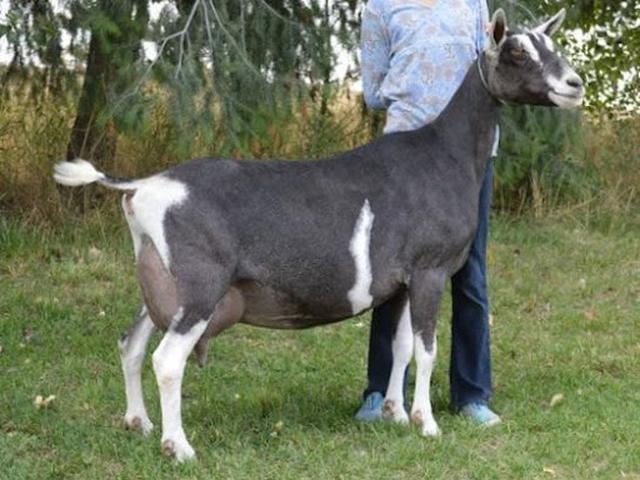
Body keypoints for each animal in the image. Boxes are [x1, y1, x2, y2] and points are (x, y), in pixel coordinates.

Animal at [54, 9, 583, 461]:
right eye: (517, 51)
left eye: (550, 44)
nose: (574, 84)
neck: (444, 154)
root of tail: (142, 186)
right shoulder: (430, 269)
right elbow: (427, 348)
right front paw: (427, 423)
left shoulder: (402, 280)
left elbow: (401, 347)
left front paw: (394, 415)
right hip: (202, 283)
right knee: (166, 359)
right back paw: (178, 447)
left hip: (161, 279)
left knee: (131, 343)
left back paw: (139, 424)